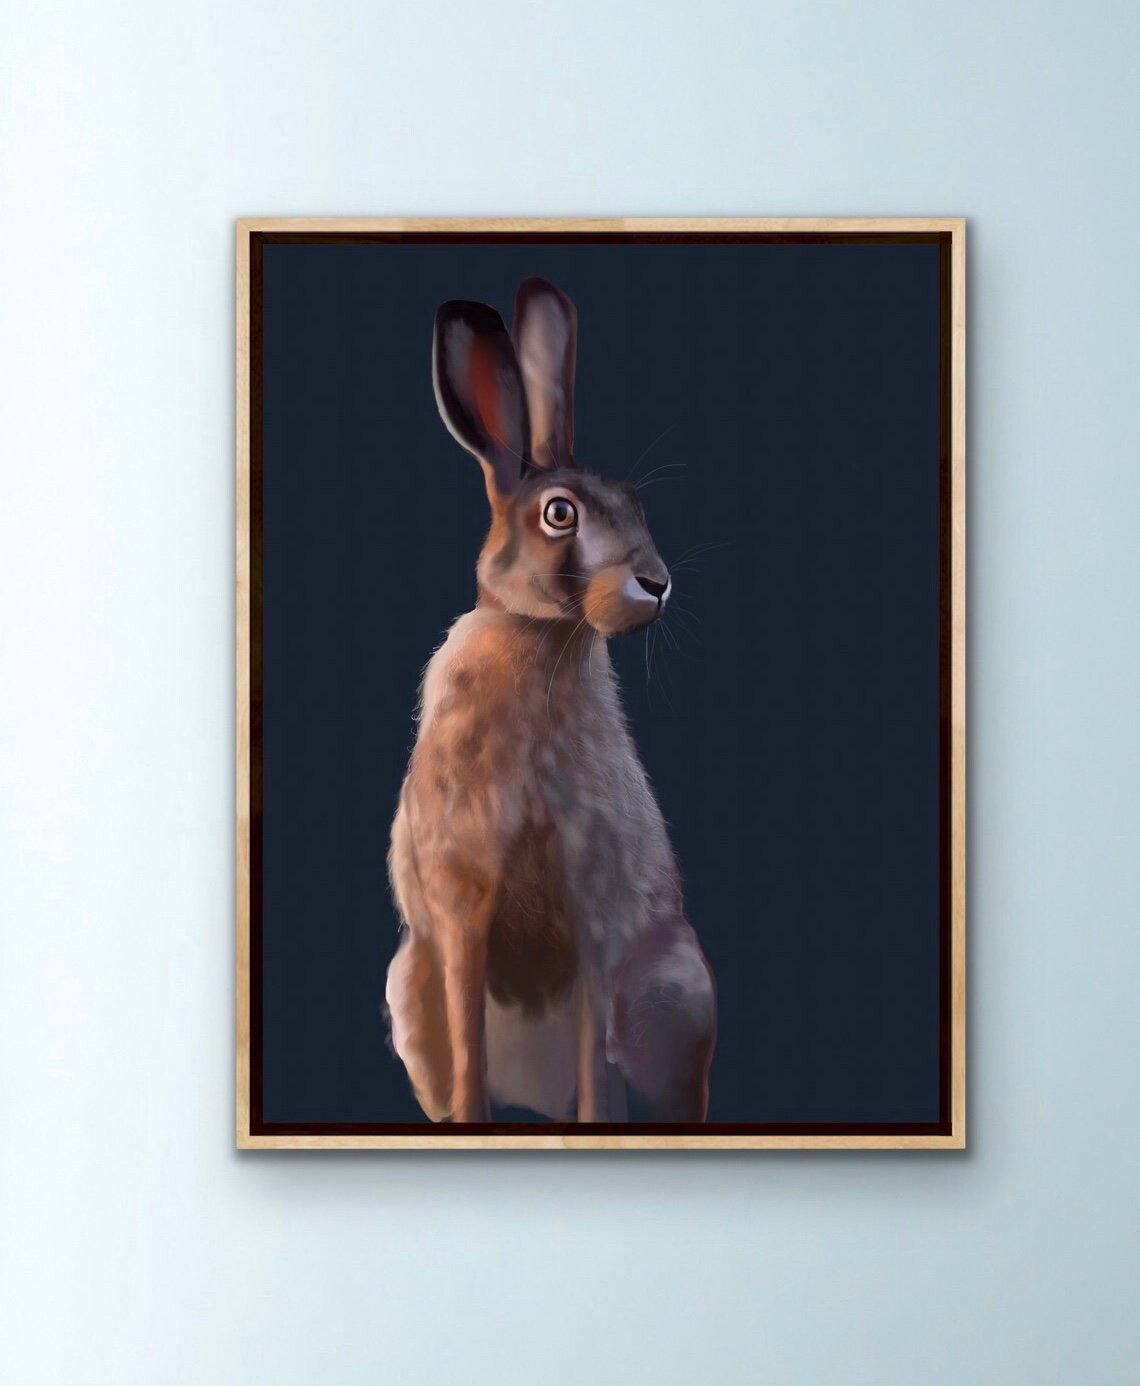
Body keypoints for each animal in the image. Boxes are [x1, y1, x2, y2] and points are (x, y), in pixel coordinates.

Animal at [385, 276, 716, 1123]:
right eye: (559, 513)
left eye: (634, 501)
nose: (657, 583)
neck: (541, 639)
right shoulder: (460, 910)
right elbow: (468, 1035)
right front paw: (473, 1120)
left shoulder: (594, 910)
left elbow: (596, 1048)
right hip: (410, 987)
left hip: (674, 993)